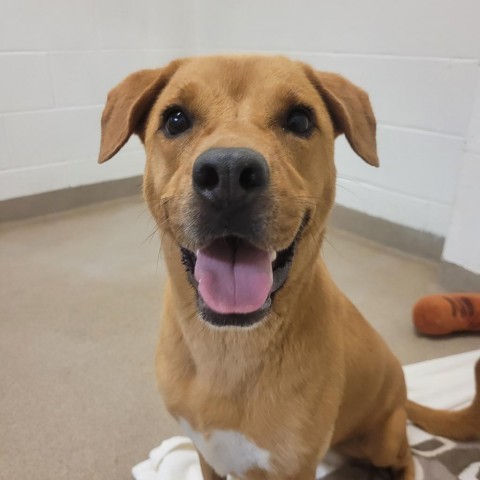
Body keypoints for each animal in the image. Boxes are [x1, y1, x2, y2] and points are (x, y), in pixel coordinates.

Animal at [98, 56, 480, 480]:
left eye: (299, 120)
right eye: (176, 119)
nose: (228, 173)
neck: (228, 346)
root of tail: (402, 393)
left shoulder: (292, 466)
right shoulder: (207, 453)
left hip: (384, 437)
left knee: (406, 458)